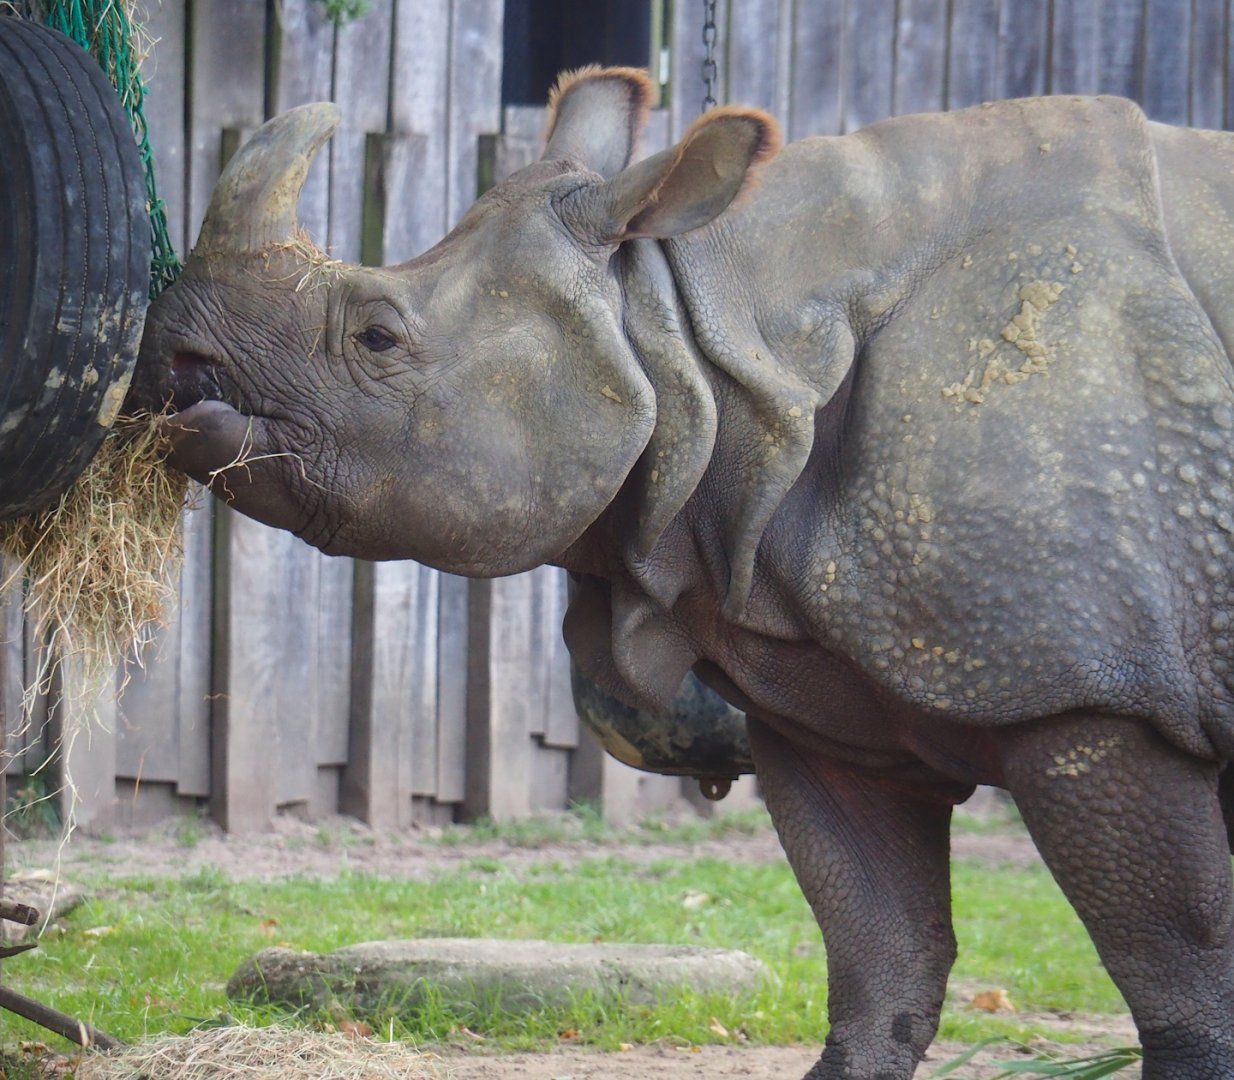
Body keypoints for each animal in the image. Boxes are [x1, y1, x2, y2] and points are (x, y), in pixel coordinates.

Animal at [134, 66, 1234, 1078]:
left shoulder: (1091, 693)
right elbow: (880, 958)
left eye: (376, 335)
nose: (174, 360)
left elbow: (1179, 976)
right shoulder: (826, 706)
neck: (715, 338)